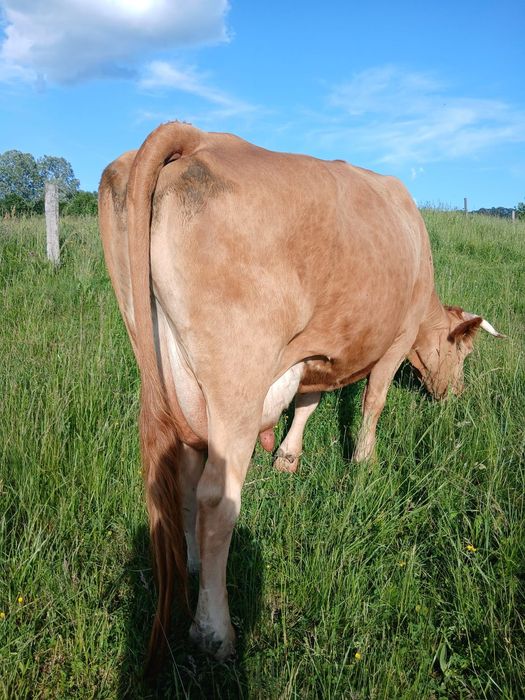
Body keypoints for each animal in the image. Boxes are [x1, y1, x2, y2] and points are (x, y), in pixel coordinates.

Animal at [98, 121, 502, 670]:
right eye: (464, 354)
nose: (455, 396)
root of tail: (199, 137)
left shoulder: (317, 351)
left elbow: (308, 401)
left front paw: (288, 457)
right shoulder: (396, 340)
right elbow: (373, 401)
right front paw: (364, 461)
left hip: (169, 371)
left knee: (182, 480)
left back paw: (195, 565)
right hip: (236, 379)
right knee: (215, 499)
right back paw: (215, 630)